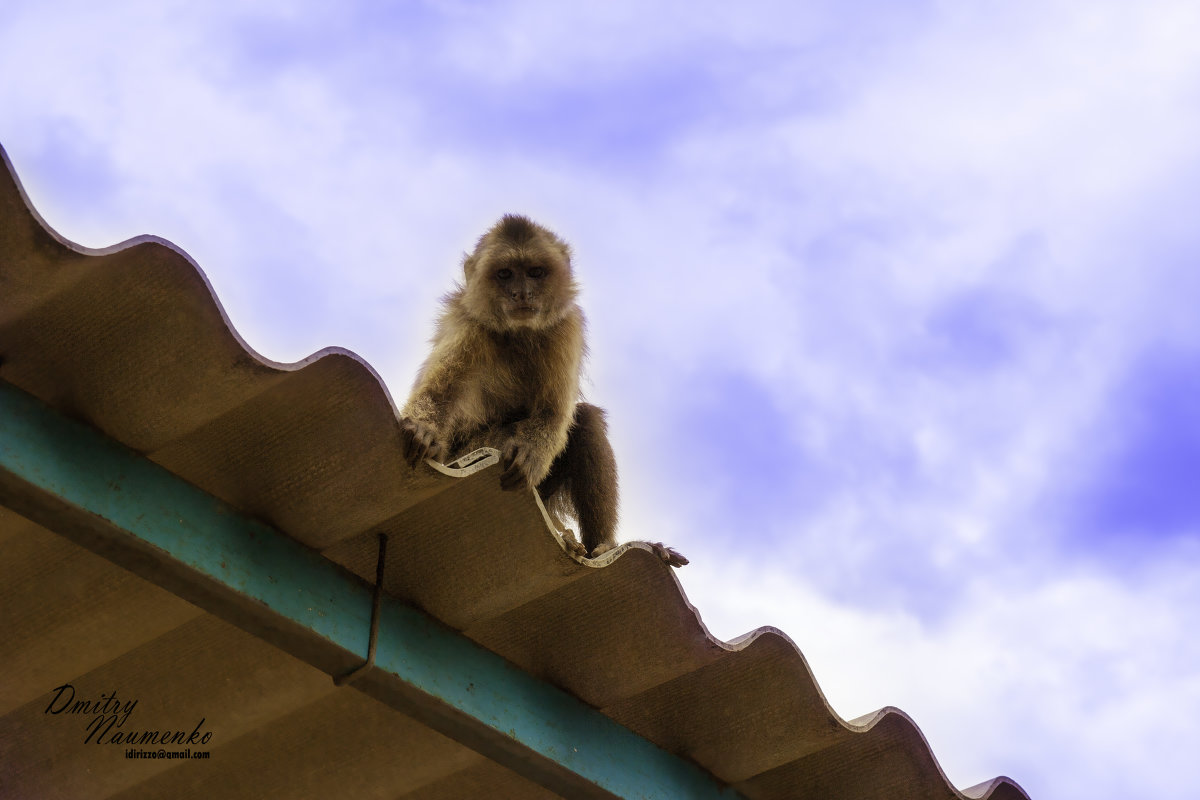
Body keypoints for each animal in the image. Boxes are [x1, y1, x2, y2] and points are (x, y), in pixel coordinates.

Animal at [400, 215, 686, 568]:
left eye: (535, 272)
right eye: (505, 274)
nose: (521, 293)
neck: (517, 334)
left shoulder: (565, 327)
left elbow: (553, 413)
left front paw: (531, 454)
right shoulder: (470, 324)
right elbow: (441, 395)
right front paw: (423, 428)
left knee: (585, 421)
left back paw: (603, 546)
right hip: (472, 450)